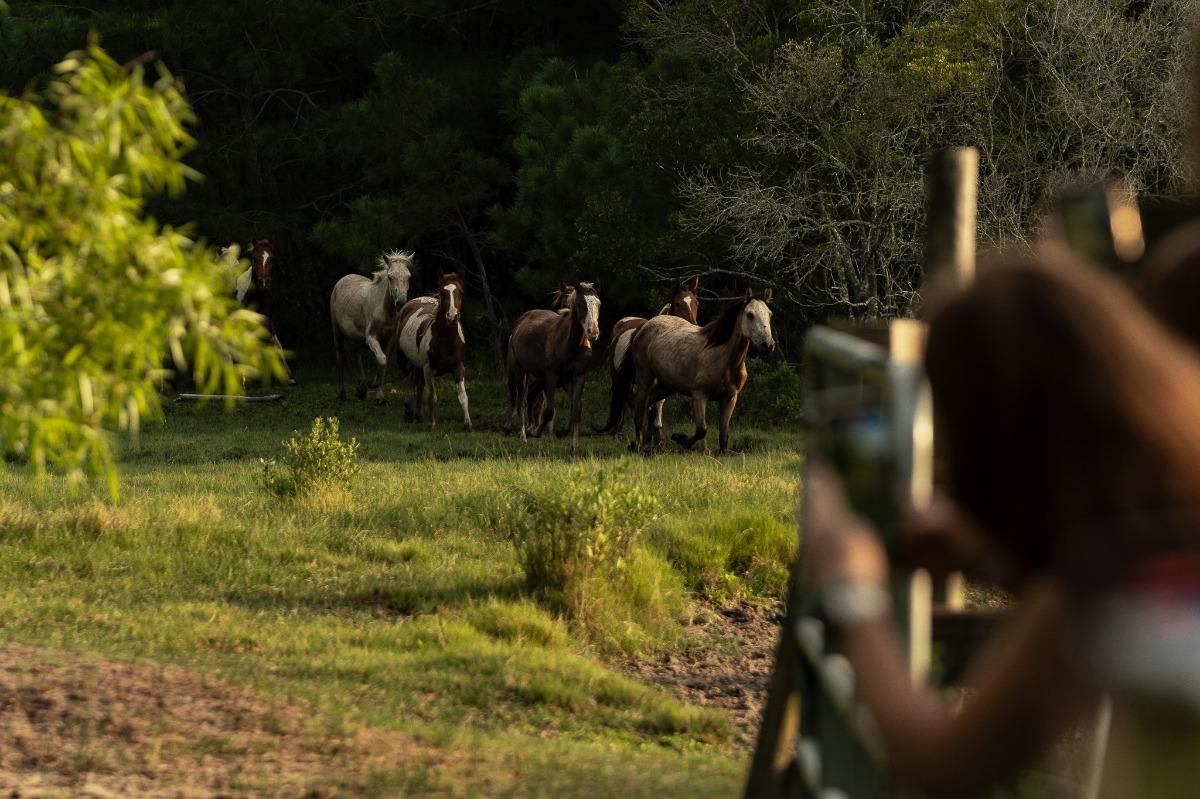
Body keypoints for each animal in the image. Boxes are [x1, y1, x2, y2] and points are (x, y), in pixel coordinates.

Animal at [330, 250, 413, 404]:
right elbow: (381, 360)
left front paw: (380, 397)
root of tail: (342, 280)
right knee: (341, 358)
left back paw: (361, 389)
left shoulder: (389, 339)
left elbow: (383, 363)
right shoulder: (371, 337)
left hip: (357, 337)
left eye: (408, 276)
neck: (384, 311)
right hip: (337, 332)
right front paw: (372, 384)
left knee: (356, 354)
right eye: (390, 277)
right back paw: (342, 394)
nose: (401, 302)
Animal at [395, 272, 472, 430]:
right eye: (443, 292)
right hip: (402, 359)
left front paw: (468, 423)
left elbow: (463, 396)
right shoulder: (428, 369)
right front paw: (432, 424)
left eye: (460, 292)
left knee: (418, 385)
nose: (452, 316)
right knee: (406, 380)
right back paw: (408, 411)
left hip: (418, 366)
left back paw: (418, 415)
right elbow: (432, 397)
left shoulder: (458, 367)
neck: (446, 340)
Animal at [506, 281, 602, 455]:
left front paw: (573, 446)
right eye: (580, 304)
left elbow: (576, 410)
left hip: (542, 377)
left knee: (530, 395)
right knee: (521, 400)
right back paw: (524, 434)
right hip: (520, 371)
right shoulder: (552, 376)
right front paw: (536, 432)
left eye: (598, 303)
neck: (570, 343)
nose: (593, 332)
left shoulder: (577, 376)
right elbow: (549, 410)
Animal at [596, 277, 700, 435]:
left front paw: (657, 430)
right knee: (621, 396)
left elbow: (658, 403)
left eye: (696, 303)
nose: (693, 326)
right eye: (677, 303)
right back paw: (618, 430)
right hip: (617, 376)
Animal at [631, 288, 775, 453]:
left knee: (647, 405)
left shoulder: (730, 398)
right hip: (644, 377)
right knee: (639, 410)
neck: (723, 358)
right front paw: (680, 439)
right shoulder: (699, 395)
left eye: (770, 314)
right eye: (750, 314)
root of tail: (647, 325)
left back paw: (646, 442)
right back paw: (639, 446)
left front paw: (722, 453)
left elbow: (724, 434)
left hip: (666, 386)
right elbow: (701, 430)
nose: (768, 345)